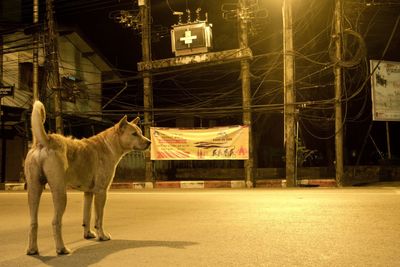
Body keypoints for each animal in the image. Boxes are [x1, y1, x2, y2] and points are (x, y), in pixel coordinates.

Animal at [24, 101, 152, 256]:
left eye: (140, 133)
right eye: (134, 134)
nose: (149, 142)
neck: (109, 144)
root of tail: (45, 141)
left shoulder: (89, 193)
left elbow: (87, 215)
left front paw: (88, 234)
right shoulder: (101, 192)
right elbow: (98, 218)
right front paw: (102, 236)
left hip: (33, 191)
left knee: (33, 223)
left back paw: (32, 249)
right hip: (60, 193)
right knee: (55, 222)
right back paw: (61, 248)